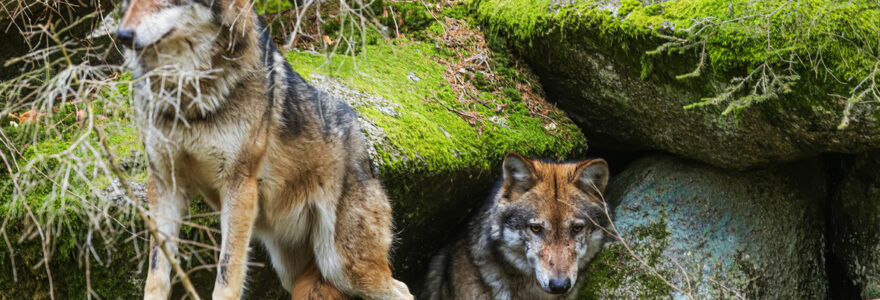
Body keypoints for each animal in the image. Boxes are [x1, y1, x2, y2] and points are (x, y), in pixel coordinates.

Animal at [116, 1, 412, 298]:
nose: (122, 36)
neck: (186, 96)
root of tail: (364, 150)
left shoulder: (238, 186)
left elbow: (227, 278)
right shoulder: (165, 183)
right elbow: (156, 274)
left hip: (343, 266)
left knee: (403, 289)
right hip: (295, 272)